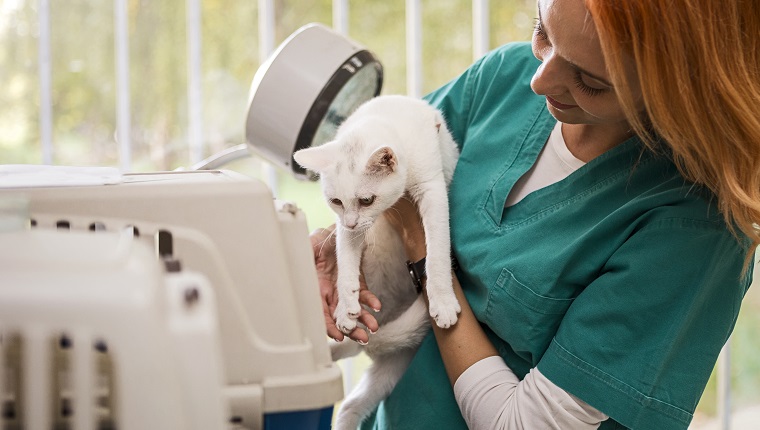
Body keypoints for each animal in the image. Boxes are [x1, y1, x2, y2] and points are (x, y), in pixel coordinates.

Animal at [294, 95, 460, 430]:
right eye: (336, 201)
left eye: (367, 200)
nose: (351, 222)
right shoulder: (347, 228)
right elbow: (346, 264)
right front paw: (346, 304)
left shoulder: (432, 188)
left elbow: (436, 252)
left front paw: (442, 300)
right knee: (349, 397)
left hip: (395, 363)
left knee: (352, 399)